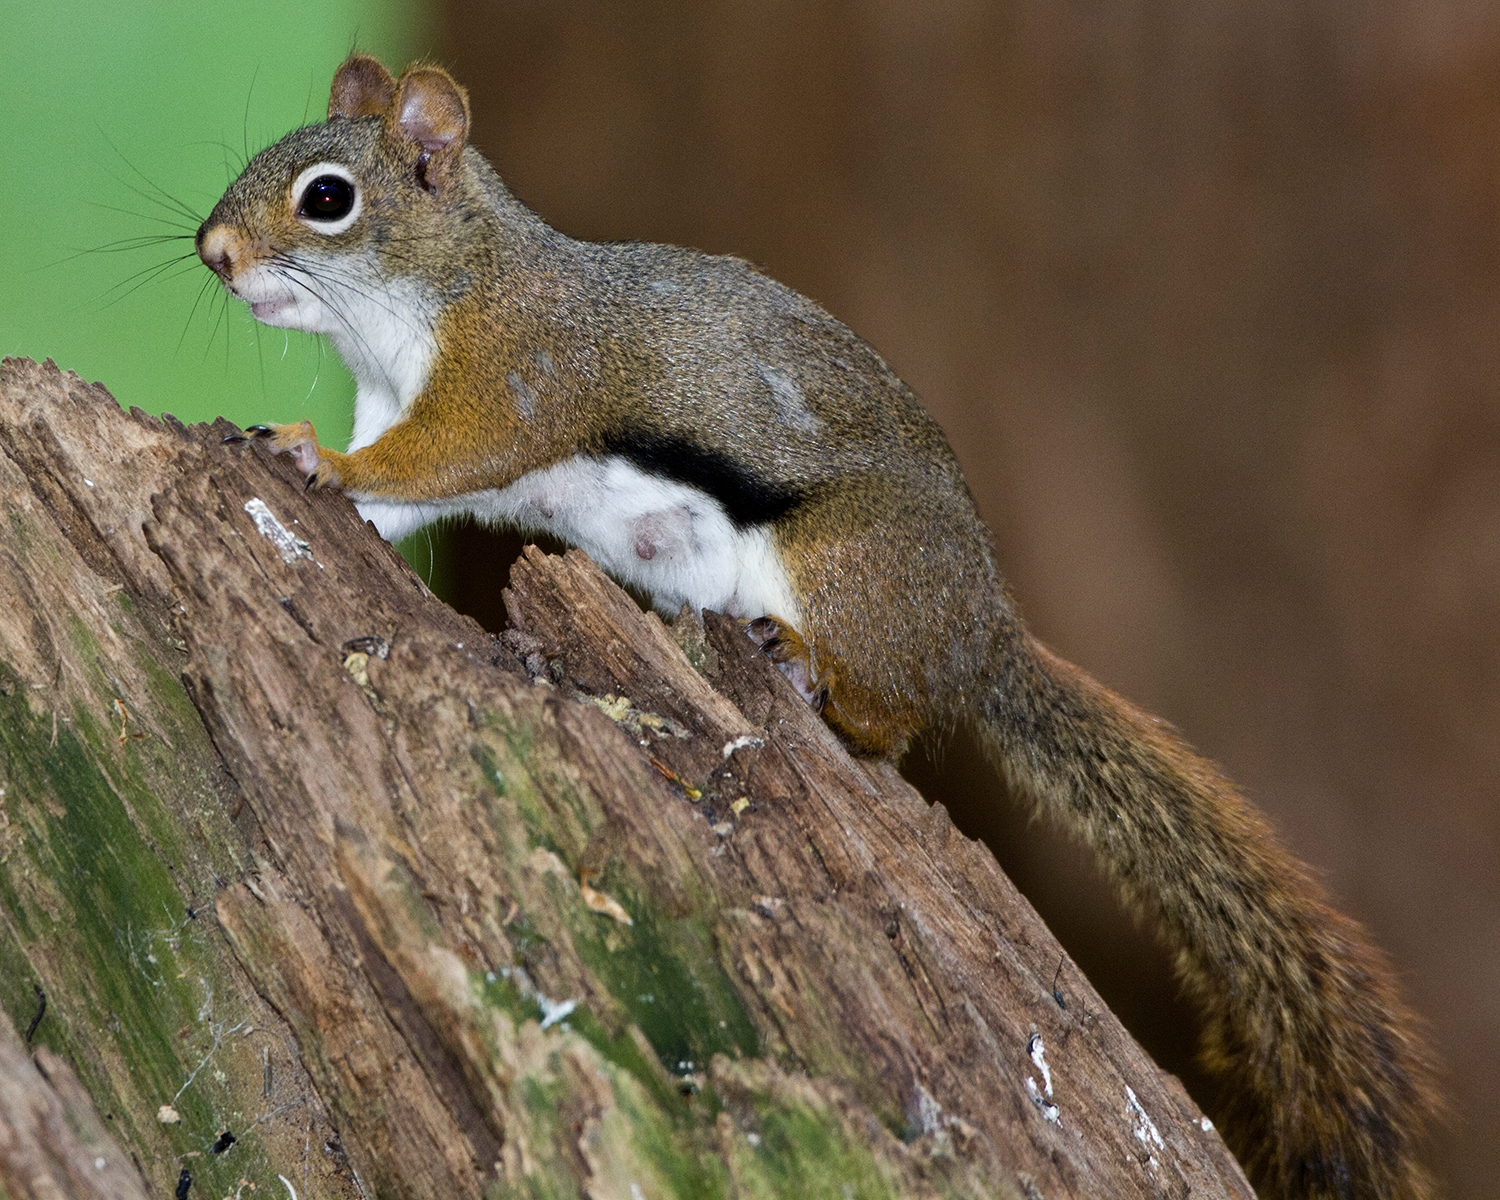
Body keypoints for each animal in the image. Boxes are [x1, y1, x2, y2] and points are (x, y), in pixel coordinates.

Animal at [199, 55, 1438, 1198]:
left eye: (326, 198)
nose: (211, 252)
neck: (443, 283)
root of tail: (981, 638)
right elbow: (398, 497)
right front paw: (299, 456)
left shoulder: (514, 379)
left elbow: (442, 457)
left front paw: (319, 458)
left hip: (843, 568)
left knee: (888, 725)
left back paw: (804, 675)